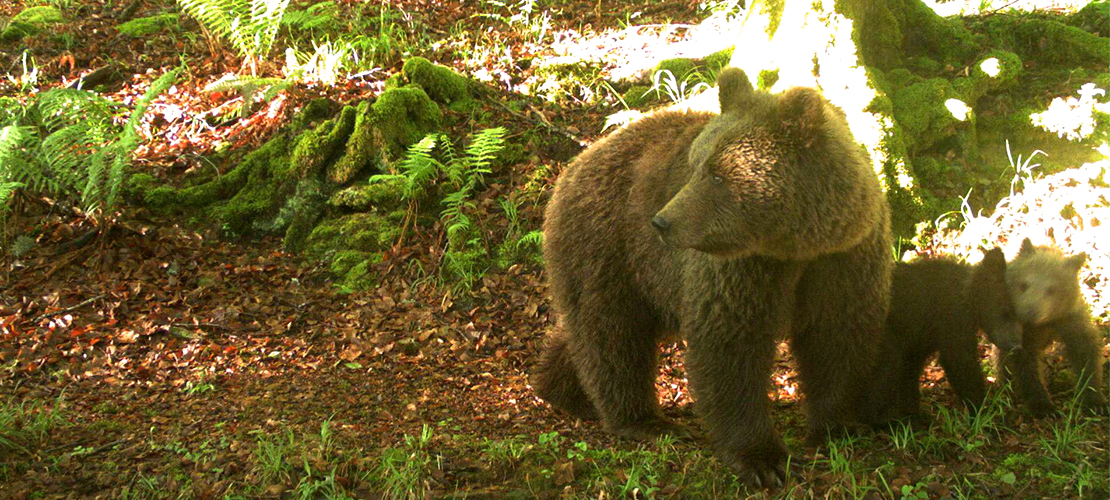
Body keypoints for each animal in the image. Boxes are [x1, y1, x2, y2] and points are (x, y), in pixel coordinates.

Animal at [530, 67, 892, 488]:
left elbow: (838, 336)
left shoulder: (844, 258)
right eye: (695, 164)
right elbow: (729, 346)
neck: (794, 246)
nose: (661, 221)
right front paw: (763, 459)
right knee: (612, 334)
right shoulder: (740, 268)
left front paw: (838, 426)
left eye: (718, 175)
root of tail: (573, 166)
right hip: (608, 247)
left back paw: (560, 388)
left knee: (588, 329)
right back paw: (643, 420)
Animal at [856, 246, 1021, 426]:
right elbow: (959, 361)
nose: (1015, 344)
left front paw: (915, 414)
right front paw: (983, 413)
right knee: (888, 363)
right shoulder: (952, 318)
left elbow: (910, 373)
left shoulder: (918, 340)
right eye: (1005, 311)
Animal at [994, 236, 1105, 415]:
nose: (1029, 313)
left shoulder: (1070, 320)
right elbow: (1026, 365)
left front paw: (1094, 401)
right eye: (1023, 284)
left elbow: (1085, 353)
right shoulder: (1022, 333)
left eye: (1052, 289)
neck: (1044, 323)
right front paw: (1043, 405)